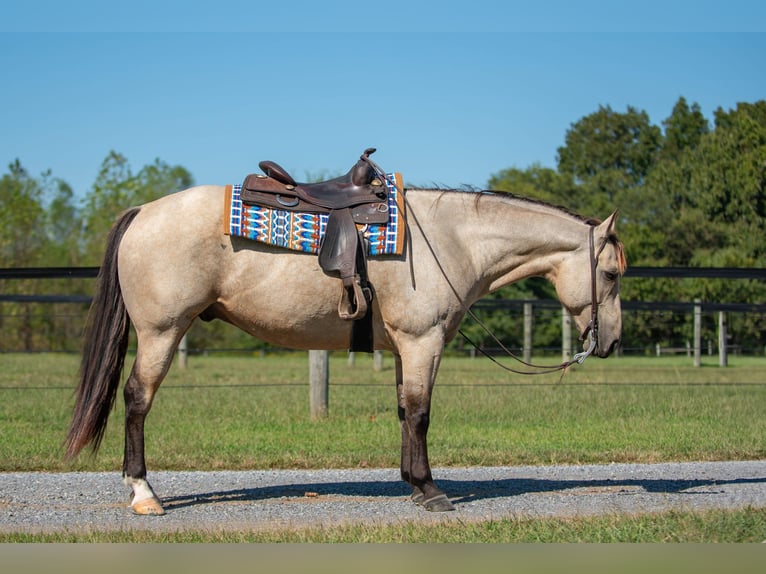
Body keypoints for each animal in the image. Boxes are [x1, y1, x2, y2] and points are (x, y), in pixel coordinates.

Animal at [65, 182, 626, 515]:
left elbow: (404, 412)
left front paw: (411, 482)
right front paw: (431, 490)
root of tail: (143, 211)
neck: (452, 240)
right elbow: (421, 414)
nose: (613, 342)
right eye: (612, 274)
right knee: (137, 400)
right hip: (161, 332)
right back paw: (143, 494)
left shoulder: (404, 348)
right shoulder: (423, 343)